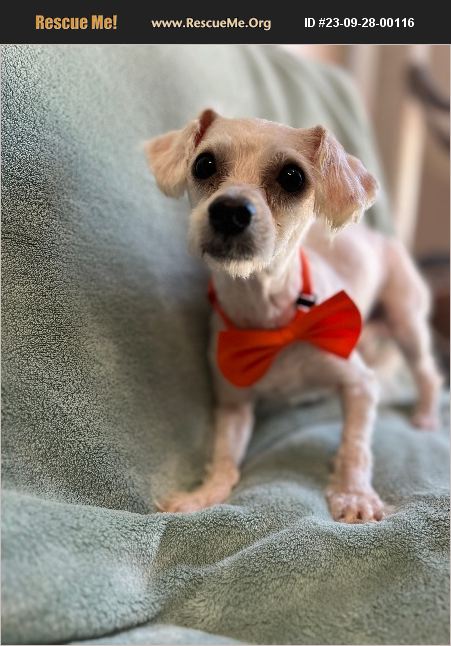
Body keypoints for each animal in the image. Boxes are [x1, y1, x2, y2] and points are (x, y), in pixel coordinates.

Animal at [146, 109, 442, 523]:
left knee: (427, 374)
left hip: (406, 321)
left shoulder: (360, 384)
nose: (229, 210)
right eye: (203, 164)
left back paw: (426, 417)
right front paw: (202, 495)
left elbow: (355, 447)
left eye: (292, 177)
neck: (270, 318)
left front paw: (354, 495)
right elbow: (224, 457)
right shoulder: (234, 403)